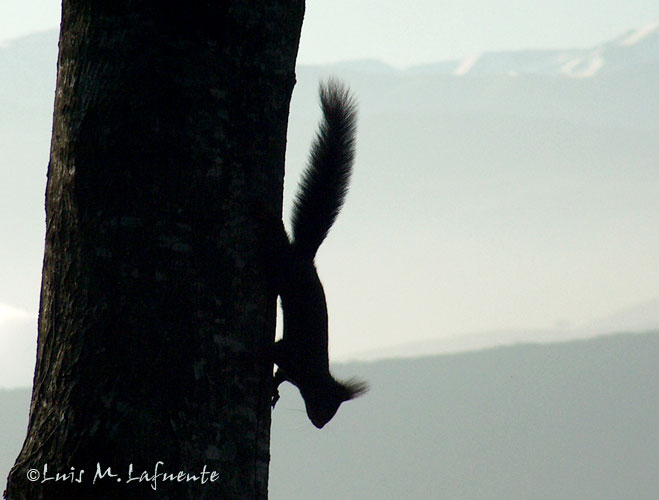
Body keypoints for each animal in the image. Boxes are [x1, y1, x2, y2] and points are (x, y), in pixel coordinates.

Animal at [270, 80, 372, 428]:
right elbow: (276, 352)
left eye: (331, 409)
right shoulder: (292, 355)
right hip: (285, 270)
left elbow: (279, 375)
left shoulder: (291, 367)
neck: (313, 374)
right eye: (325, 402)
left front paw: (273, 393)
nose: (319, 423)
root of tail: (306, 257)